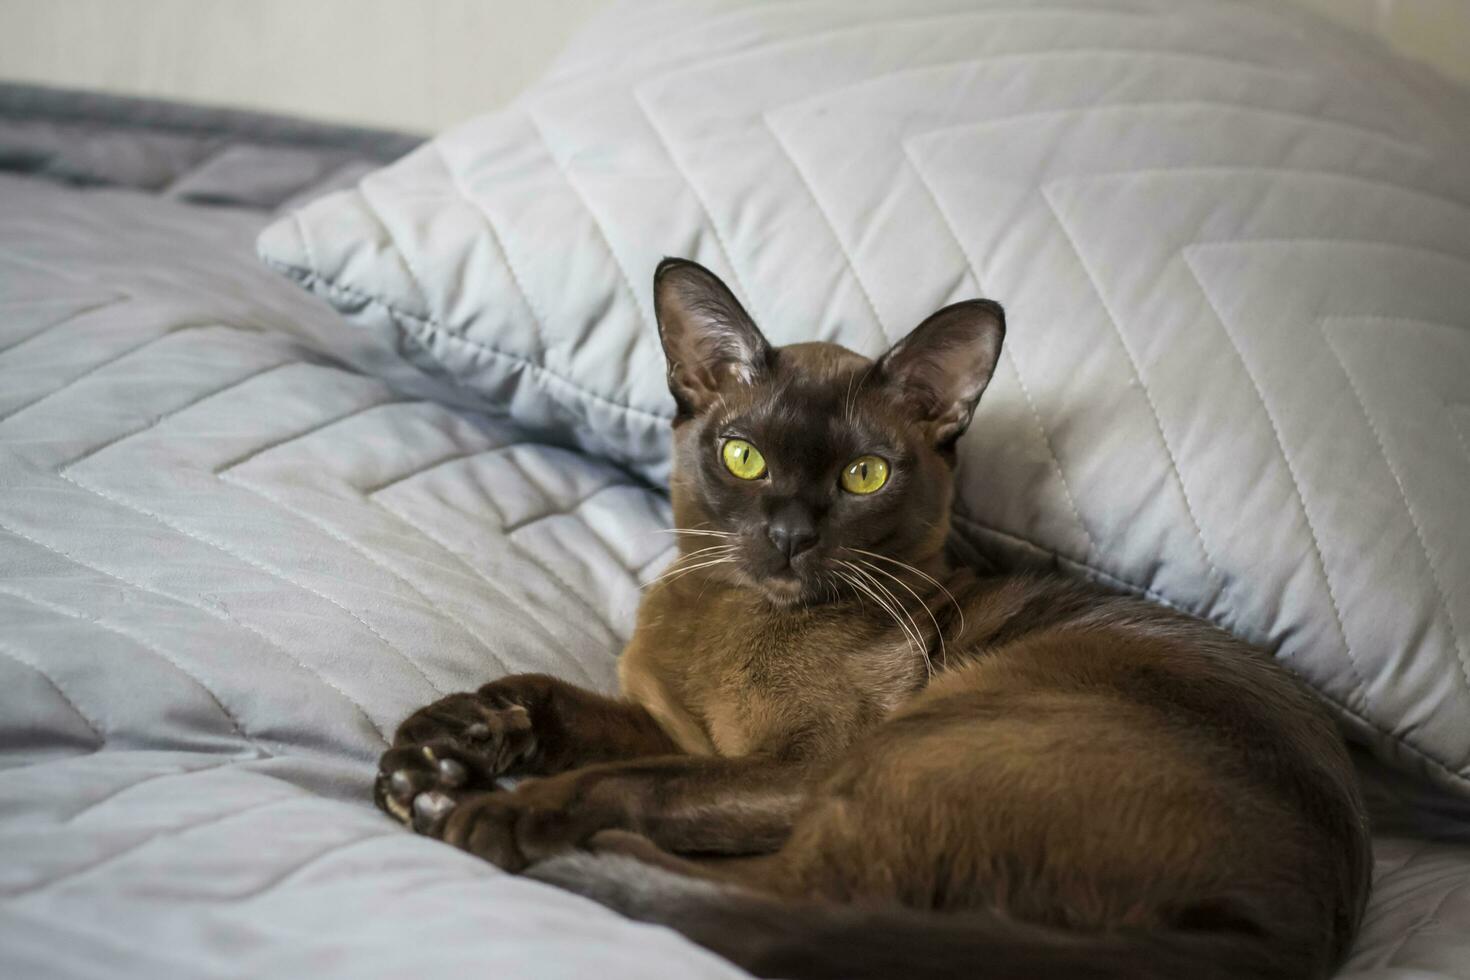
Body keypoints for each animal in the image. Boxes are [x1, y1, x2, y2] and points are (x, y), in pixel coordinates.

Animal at [376, 258, 1364, 980]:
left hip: (924, 742)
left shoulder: (792, 765)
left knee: (793, 903)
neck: (734, 621)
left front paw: (495, 806)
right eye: (744, 456)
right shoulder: (677, 728)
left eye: (864, 476)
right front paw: (440, 748)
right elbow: (551, 701)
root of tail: (1281, 933)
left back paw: (514, 836)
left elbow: (629, 779)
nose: (788, 535)